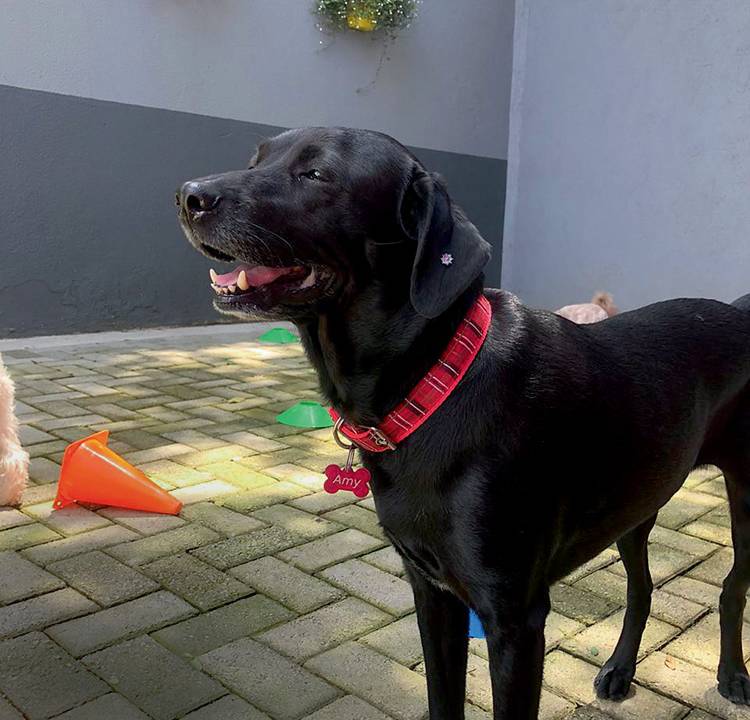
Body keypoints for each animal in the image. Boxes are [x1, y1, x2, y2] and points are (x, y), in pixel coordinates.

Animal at [178, 126, 750, 716]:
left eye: (316, 174)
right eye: (256, 161)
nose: (189, 196)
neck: (433, 384)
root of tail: (741, 310)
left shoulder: (514, 619)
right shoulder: (433, 595)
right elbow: (441, 697)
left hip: (746, 501)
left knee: (732, 588)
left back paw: (732, 675)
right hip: (638, 500)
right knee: (642, 587)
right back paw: (619, 670)